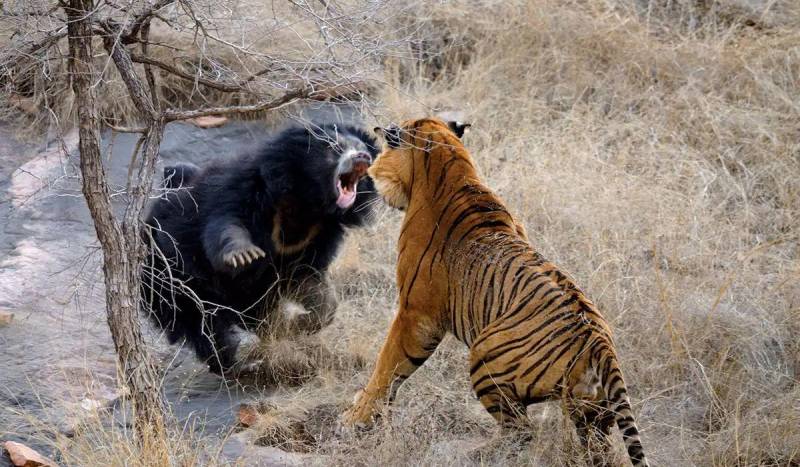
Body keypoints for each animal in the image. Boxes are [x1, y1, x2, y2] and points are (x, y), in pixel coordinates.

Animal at [142, 124, 380, 376]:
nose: (362, 158)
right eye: (335, 147)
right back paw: (237, 364)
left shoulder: (318, 235)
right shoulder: (244, 189)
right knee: (203, 325)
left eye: (364, 149)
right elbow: (227, 223)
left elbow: (309, 281)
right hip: (171, 279)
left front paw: (296, 324)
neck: (307, 202)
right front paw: (243, 255)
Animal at [340, 116, 648, 464]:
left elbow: (388, 365)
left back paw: (471, 452)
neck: (451, 165)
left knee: (521, 431)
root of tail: (600, 343)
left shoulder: (416, 314)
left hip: (485, 356)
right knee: (595, 447)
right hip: (591, 410)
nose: (370, 169)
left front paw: (356, 418)